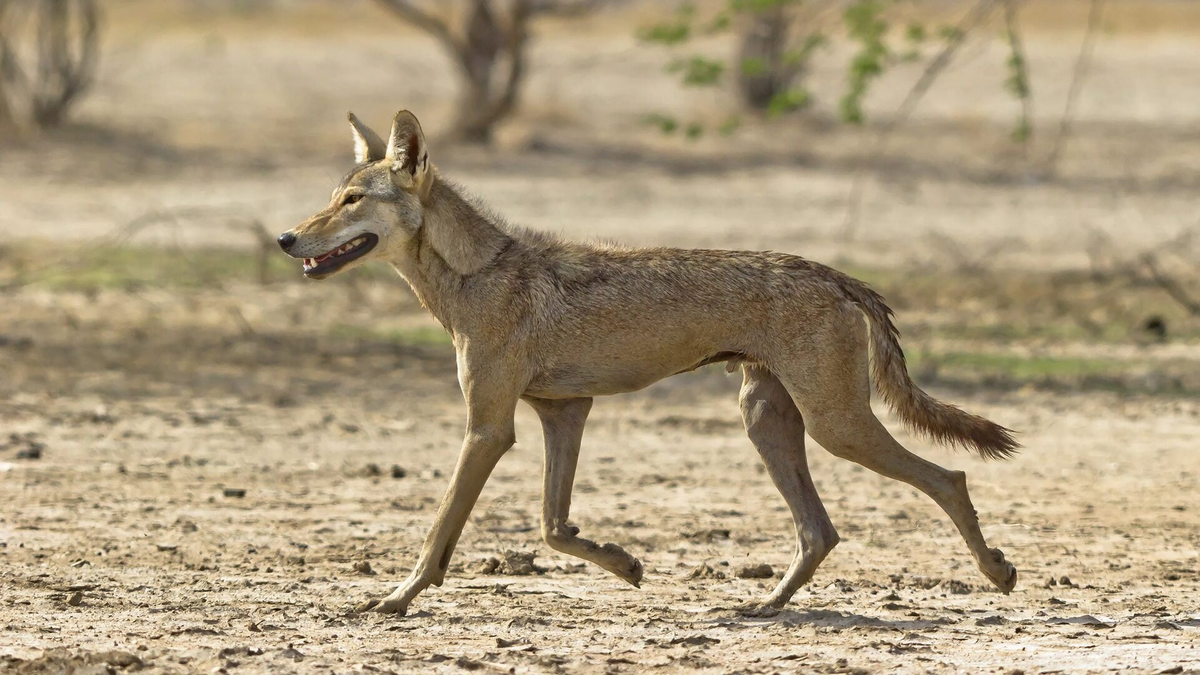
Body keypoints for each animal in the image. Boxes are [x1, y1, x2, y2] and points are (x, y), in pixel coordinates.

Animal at [278, 109, 1022, 614]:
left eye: (351, 200)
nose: (285, 237)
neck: (476, 273)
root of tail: (834, 273)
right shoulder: (564, 413)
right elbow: (553, 527)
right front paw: (626, 563)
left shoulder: (488, 429)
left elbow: (440, 531)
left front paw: (396, 598)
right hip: (767, 421)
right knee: (821, 530)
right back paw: (765, 606)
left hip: (835, 425)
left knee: (947, 477)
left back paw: (997, 572)